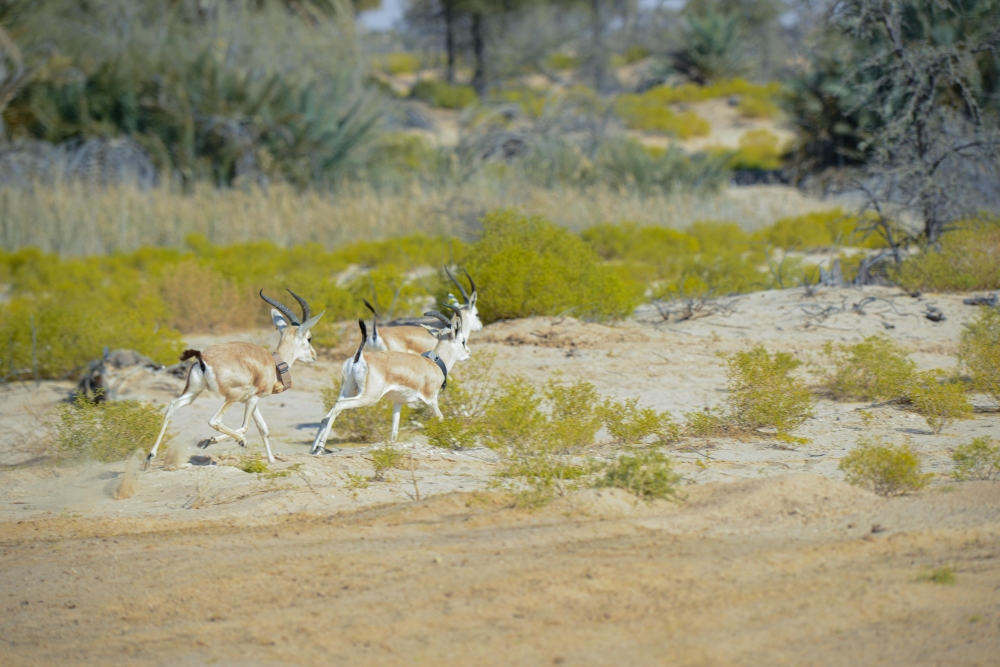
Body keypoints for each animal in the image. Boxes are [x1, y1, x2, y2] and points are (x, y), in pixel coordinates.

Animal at [144, 291, 324, 469]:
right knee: (215, 420)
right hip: (231, 398)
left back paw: (149, 458)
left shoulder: (251, 401)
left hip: (193, 393)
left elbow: (263, 428)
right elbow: (246, 427)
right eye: (309, 338)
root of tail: (203, 357)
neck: (274, 364)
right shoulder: (252, 399)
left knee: (172, 406)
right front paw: (211, 441)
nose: (314, 356)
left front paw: (272, 461)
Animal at [310, 309, 470, 453]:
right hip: (368, 398)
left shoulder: (398, 402)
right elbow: (442, 419)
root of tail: (359, 356)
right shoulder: (431, 400)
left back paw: (314, 450)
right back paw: (321, 447)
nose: (469, 354)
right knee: (339, 406)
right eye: (463, 341)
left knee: (327, 416)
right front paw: (457, 444)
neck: (434, 364)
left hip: (348, 390)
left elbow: (394, 432)